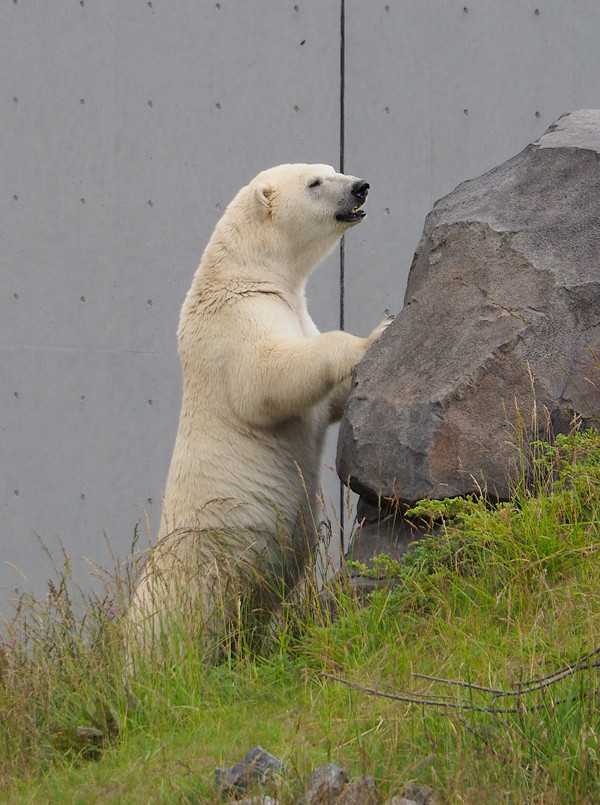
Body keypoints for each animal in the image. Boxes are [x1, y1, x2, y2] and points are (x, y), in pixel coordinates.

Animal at [127, 163, 390, 660]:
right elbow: (266, 378)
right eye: (315, 183)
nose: (361, 187)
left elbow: (323, 400)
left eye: (332, 169)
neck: (244, 272)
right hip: (191, 585)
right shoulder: (236, 320)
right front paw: (374, 335)